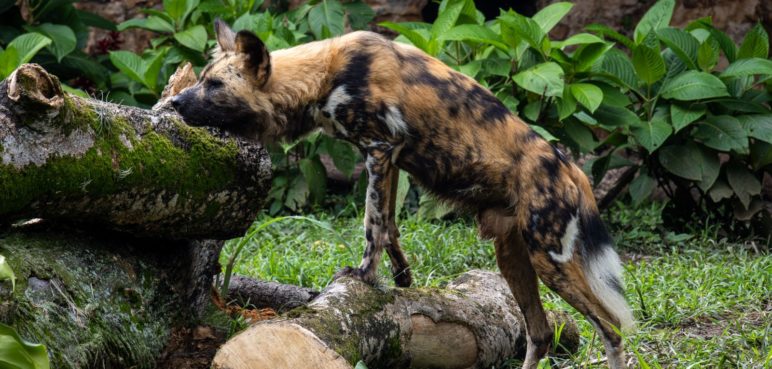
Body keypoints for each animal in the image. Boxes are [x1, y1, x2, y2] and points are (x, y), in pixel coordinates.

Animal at [172, 20, 636, 368]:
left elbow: (372, 223)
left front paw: (361, 276)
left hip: (549, 259)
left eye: (214, 85)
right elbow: (390, 225)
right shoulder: (390, 158)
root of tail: (572, 168)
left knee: (611, 330)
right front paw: (401, 282)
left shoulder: (378, 149)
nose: (175, 102)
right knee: (539, 334)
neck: (322, 76)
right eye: (202, 80)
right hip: (513, 258)